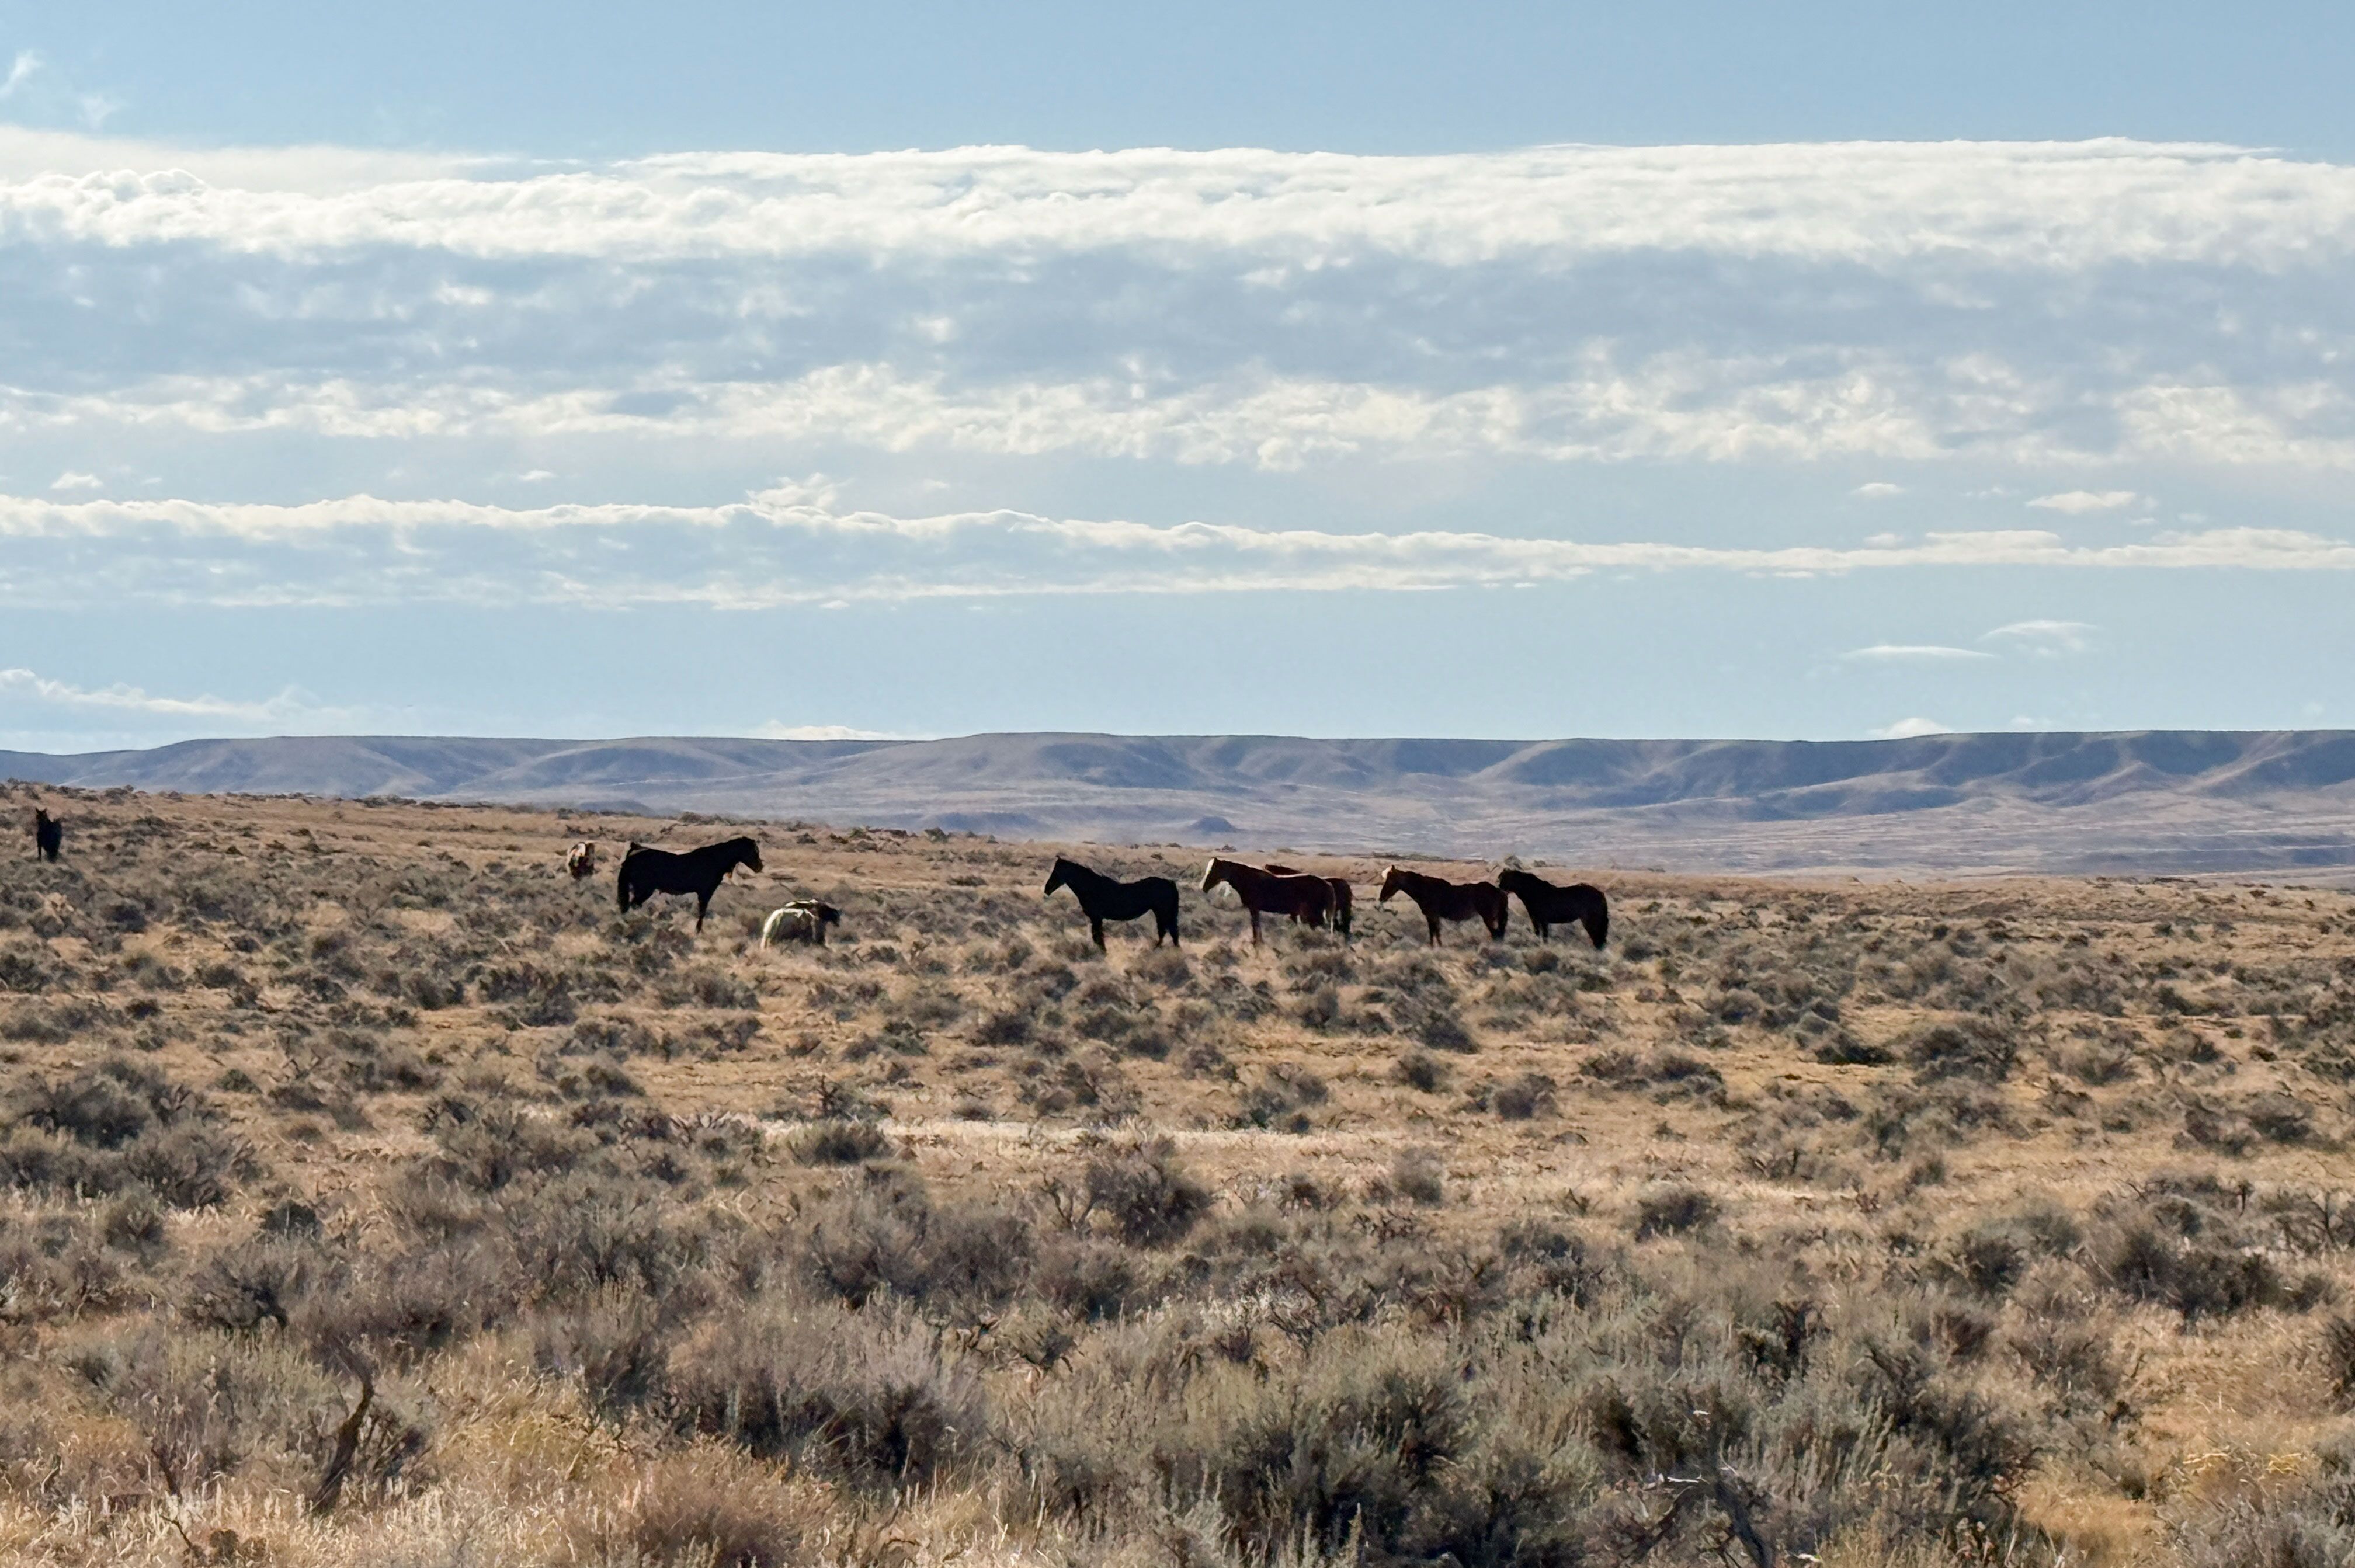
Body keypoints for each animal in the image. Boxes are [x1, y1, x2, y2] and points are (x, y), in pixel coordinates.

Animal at [616, 836, 762, 931]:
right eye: (753, 851)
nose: (760, 867)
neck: (714, 861)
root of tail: (633, 853)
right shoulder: (706, 893)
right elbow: (702, 912)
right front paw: (697, 931)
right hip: (644, 891)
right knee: (630, 906)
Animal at [1045, 856, 1181, 950]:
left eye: (1056, 872)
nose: (1047, 889)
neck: (1091, 887)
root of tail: (1169, 883)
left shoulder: (1097, 918)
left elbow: (1098, 937)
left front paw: (1103, 952)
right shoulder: (1096, 919)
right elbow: (1097, 937)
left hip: (1163, 913)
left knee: (1169, 931)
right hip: (1160, 913)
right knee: (1167, 931)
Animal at [1201, 858, 1333, 947]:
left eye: (1212, 871)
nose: (1203, 887)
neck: (1248, 879)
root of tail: (1327, 884)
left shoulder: (1254, 908)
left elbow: (1255, 926)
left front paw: (1256, 943)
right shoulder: (1254, 910)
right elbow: (1256, 926)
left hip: (1313, 913)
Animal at [1378, 864, 1508, 945]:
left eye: (1390, 881)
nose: (1381, 898)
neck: (1425, 890)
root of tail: (1499, 892)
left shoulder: (1431, 917)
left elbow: (1433, 935)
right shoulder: (1435, 918)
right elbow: (1437, 935)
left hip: (1488, 918)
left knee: (1496, 935)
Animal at [1497, 869, 1609, 948]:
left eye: (1505, 879)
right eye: (1501, 878)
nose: (1499, 887)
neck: (1532, 892)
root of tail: (1600, 894)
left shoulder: (1543, 921)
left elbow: (1544, 936)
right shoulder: (1535, 919)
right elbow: (1538, 934)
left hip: (1591, 920)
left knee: (1597, 936)